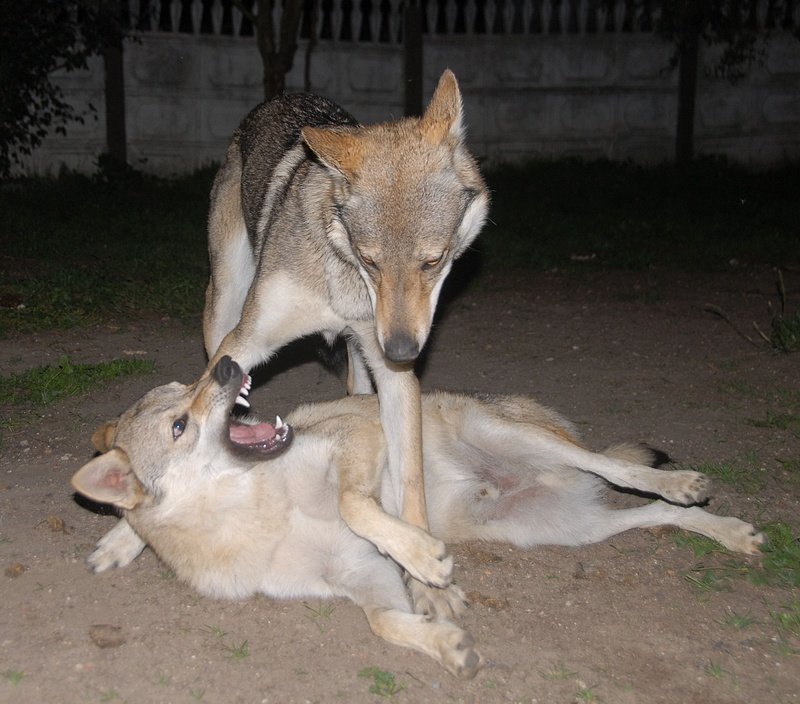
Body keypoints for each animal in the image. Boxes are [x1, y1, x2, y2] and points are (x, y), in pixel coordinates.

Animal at [72, 356, 765, 678]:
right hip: (567, 531)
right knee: (652, 515)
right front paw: (444, 642)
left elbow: (358, 505)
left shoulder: (358, 440)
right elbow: (383, 624)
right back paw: (729, 532)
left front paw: (426, 559)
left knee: (624, 470)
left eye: (185, 388)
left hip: (526, 444)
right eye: (178, 423)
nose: (226, 365)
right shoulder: (359, 578)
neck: (254, 508)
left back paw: (683, 483)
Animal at [201, 71, 489, 613]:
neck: (343, 274)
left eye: (433, 261)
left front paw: (427, 584)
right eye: (370, 260)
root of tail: (282, 97)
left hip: (361, 368)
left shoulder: (393, 376)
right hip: (224, 306)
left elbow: (410, 488)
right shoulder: (246, 343)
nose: (402, 353)